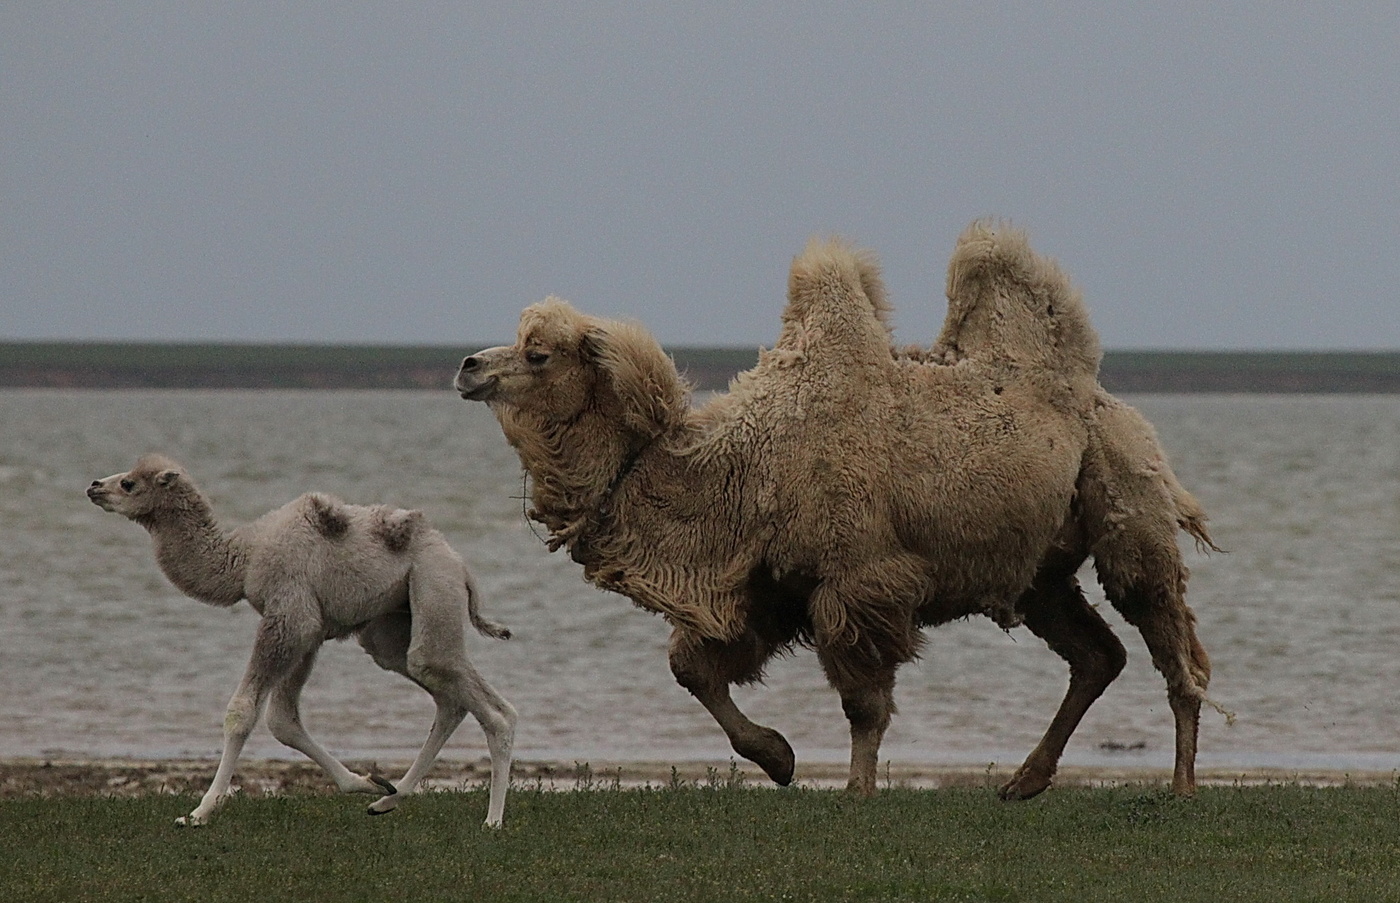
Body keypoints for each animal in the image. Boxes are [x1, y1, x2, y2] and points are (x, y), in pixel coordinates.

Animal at [87, 453, 518, 828]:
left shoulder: (289, 617)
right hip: (392, 626)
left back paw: (492, 820)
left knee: (476, 700)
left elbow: (242, 712)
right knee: (450, 696)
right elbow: (283, 721)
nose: (94, 486)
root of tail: (461, 565)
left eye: (129, 483)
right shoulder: (308, 632)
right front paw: (365, 783)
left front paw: (198, 813)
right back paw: (387, 800)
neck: (244, 558)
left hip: (434, 587)